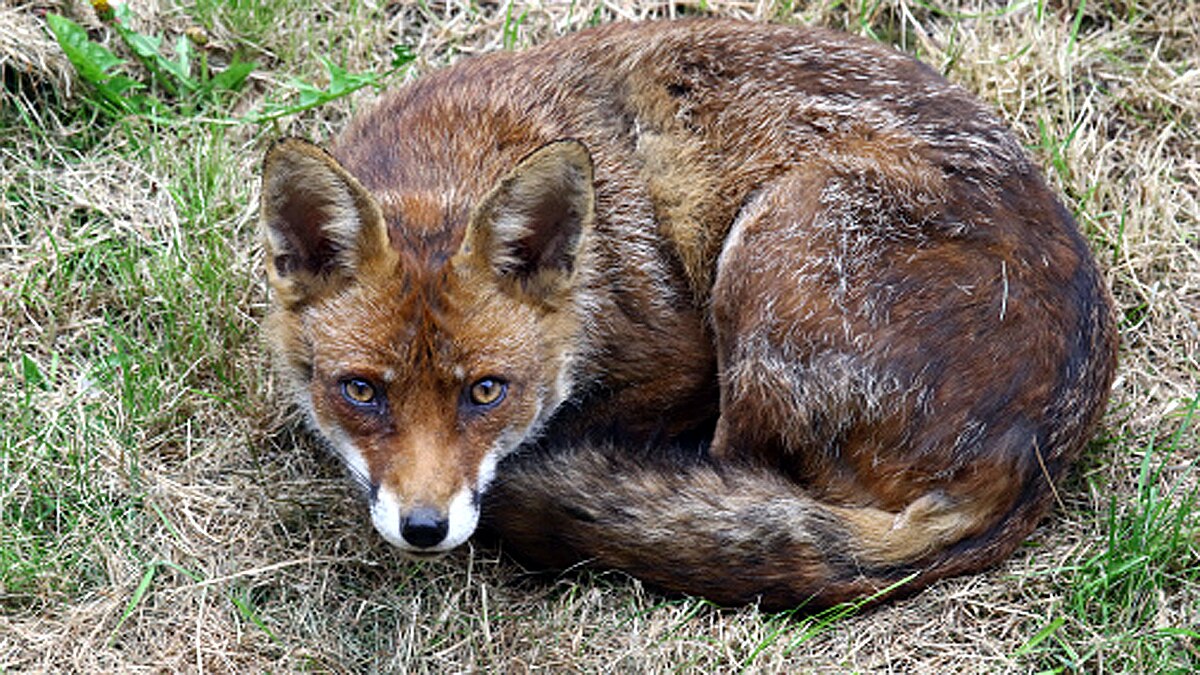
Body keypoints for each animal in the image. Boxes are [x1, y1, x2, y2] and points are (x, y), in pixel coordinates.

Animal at [260, 19, 1117, 610]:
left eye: (486, 392)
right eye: (362, 390)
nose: (425, 528)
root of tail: (1039, 453)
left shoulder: (682, 359)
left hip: (773, 248)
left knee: (736, 468)